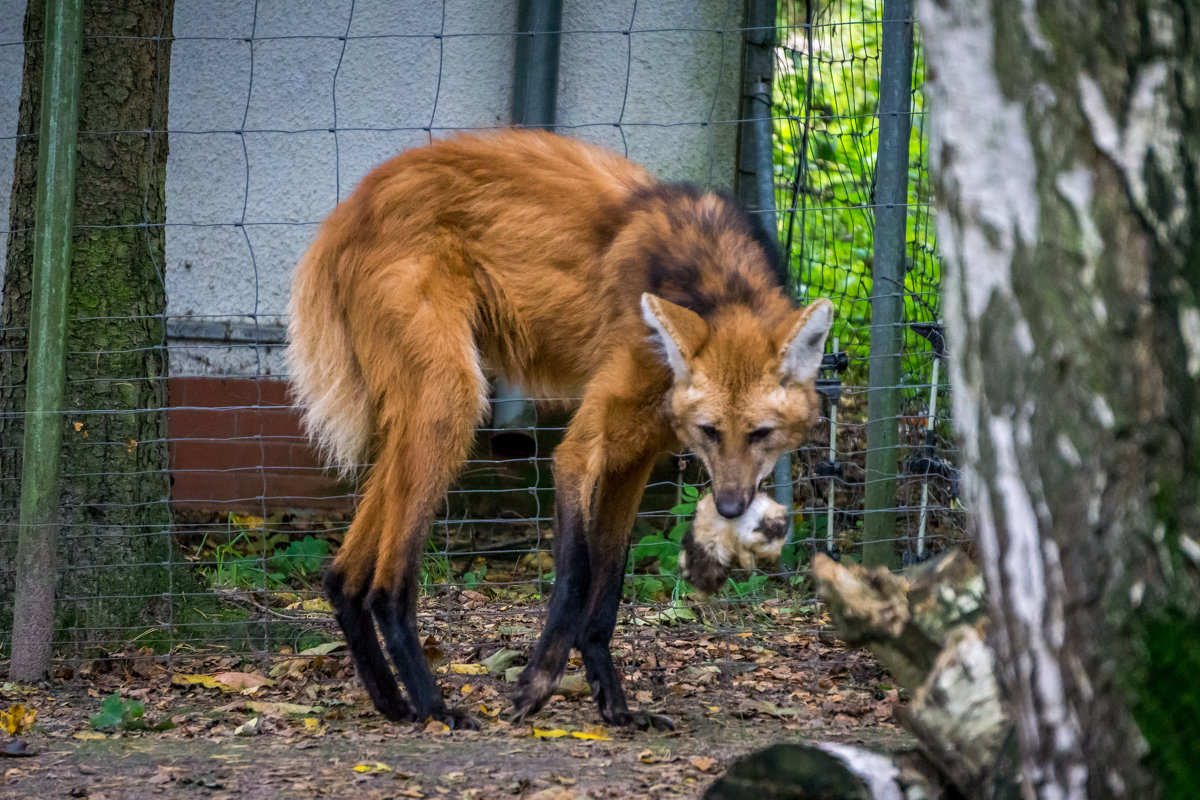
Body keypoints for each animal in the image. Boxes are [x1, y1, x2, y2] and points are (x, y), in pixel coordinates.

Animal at [288, 131, 835, 734]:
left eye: (760, 434)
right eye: (711, 431)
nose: (733, 507)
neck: (709, 283)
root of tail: (351, 206)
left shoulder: (635, 456)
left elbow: (609, 584)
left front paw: (614, 705)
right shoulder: (581, 451)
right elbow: (577, 571)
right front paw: (537, 683)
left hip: (420, 411)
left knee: (343, 576)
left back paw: (392, 701)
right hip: (452, 399)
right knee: (388, 584)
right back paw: (435, 707)